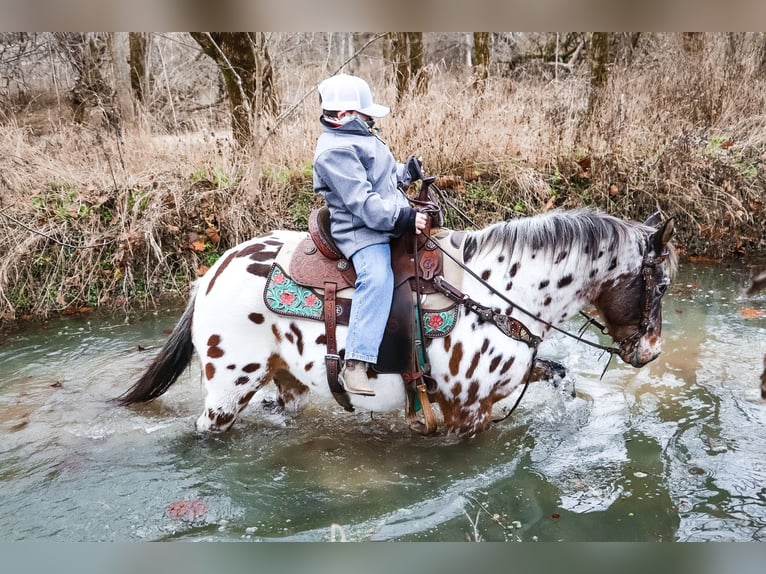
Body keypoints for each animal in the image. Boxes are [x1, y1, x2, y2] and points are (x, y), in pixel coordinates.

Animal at [115, 209, 680, 438]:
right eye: (663, 284)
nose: (651, 351)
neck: (497, 294)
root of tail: (210, 274)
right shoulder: (466, 415)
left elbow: (564, 377)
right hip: (228, 390)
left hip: (286, 380)